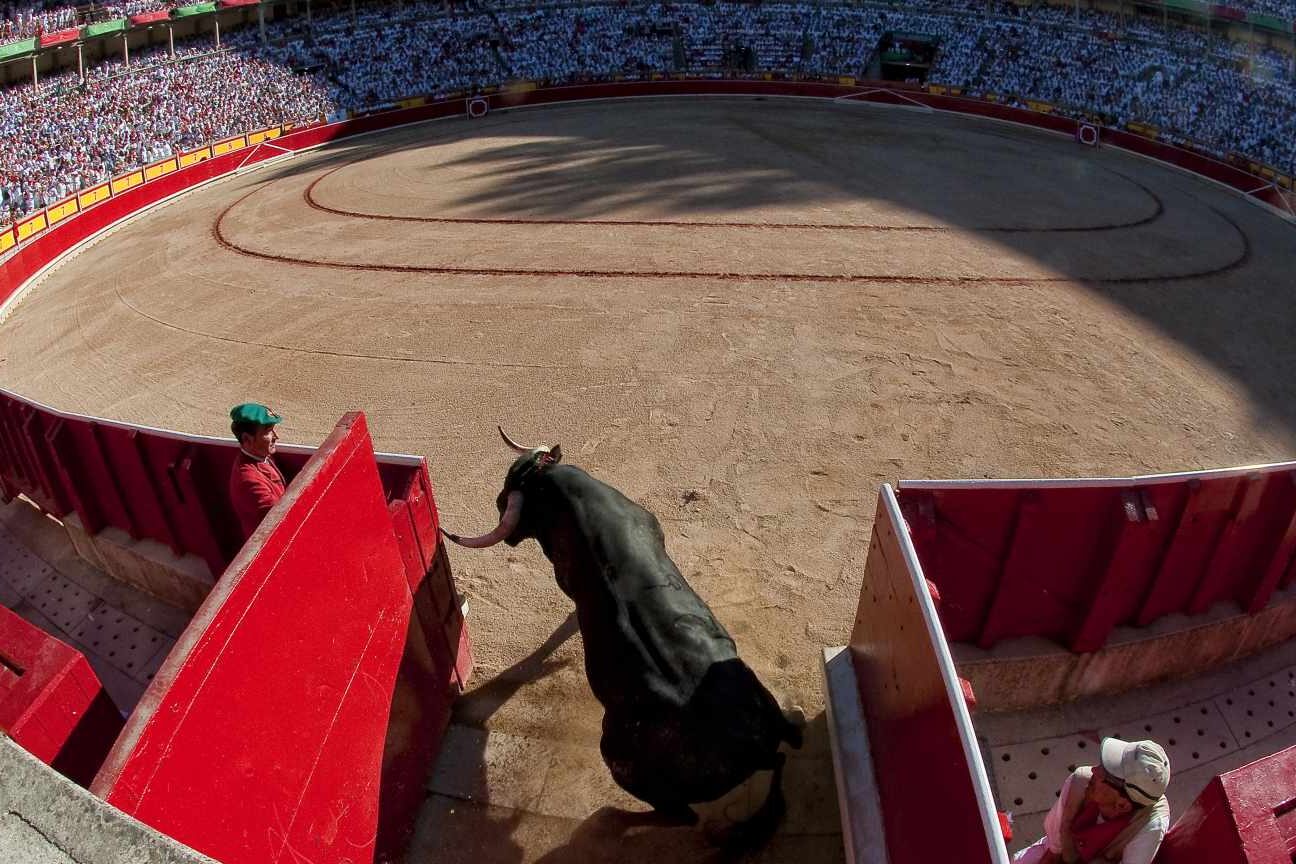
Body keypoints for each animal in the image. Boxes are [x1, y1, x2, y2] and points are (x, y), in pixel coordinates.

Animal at [445, 430, 798, 839]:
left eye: (509, 489)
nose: (499, 504)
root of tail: (754, 750)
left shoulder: (565, 575)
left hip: (618, 758)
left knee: (681, 816)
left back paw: (609, 818)